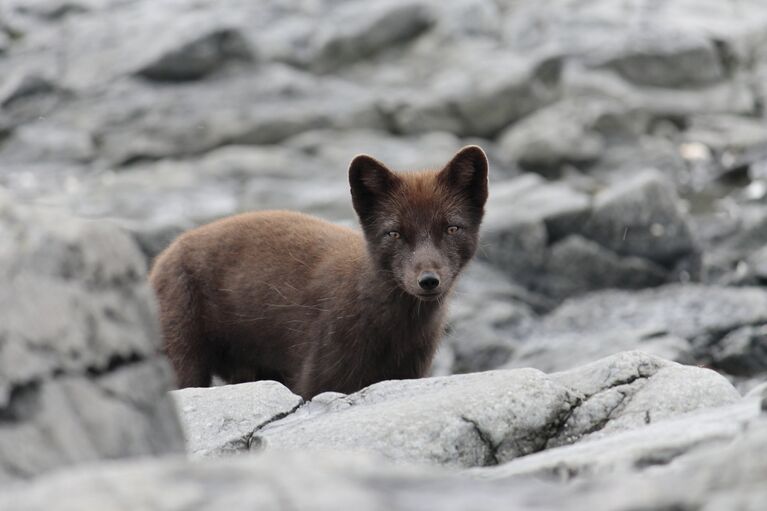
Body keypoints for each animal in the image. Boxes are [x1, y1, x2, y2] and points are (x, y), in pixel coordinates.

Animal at [147, 145, 488, 400]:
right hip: (180, 346)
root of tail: (161, 259)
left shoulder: (411, 371)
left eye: (452, 228)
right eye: (394, 233)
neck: (394, 335)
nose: (428, 280)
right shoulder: (321, 372)